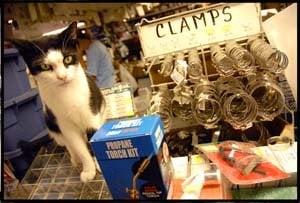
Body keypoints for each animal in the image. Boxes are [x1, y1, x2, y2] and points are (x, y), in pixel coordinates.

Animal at [11, 21, 105, 182]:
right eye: (45, 66)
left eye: (67, 59)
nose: (62, 77)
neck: (67, 94)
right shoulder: (64, 123)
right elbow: (79, 148)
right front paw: (88, 169)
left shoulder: (91, 115)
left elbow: (94, 139)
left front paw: (99, 165)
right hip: (51, 122)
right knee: (68, 144)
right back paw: (75, 158)